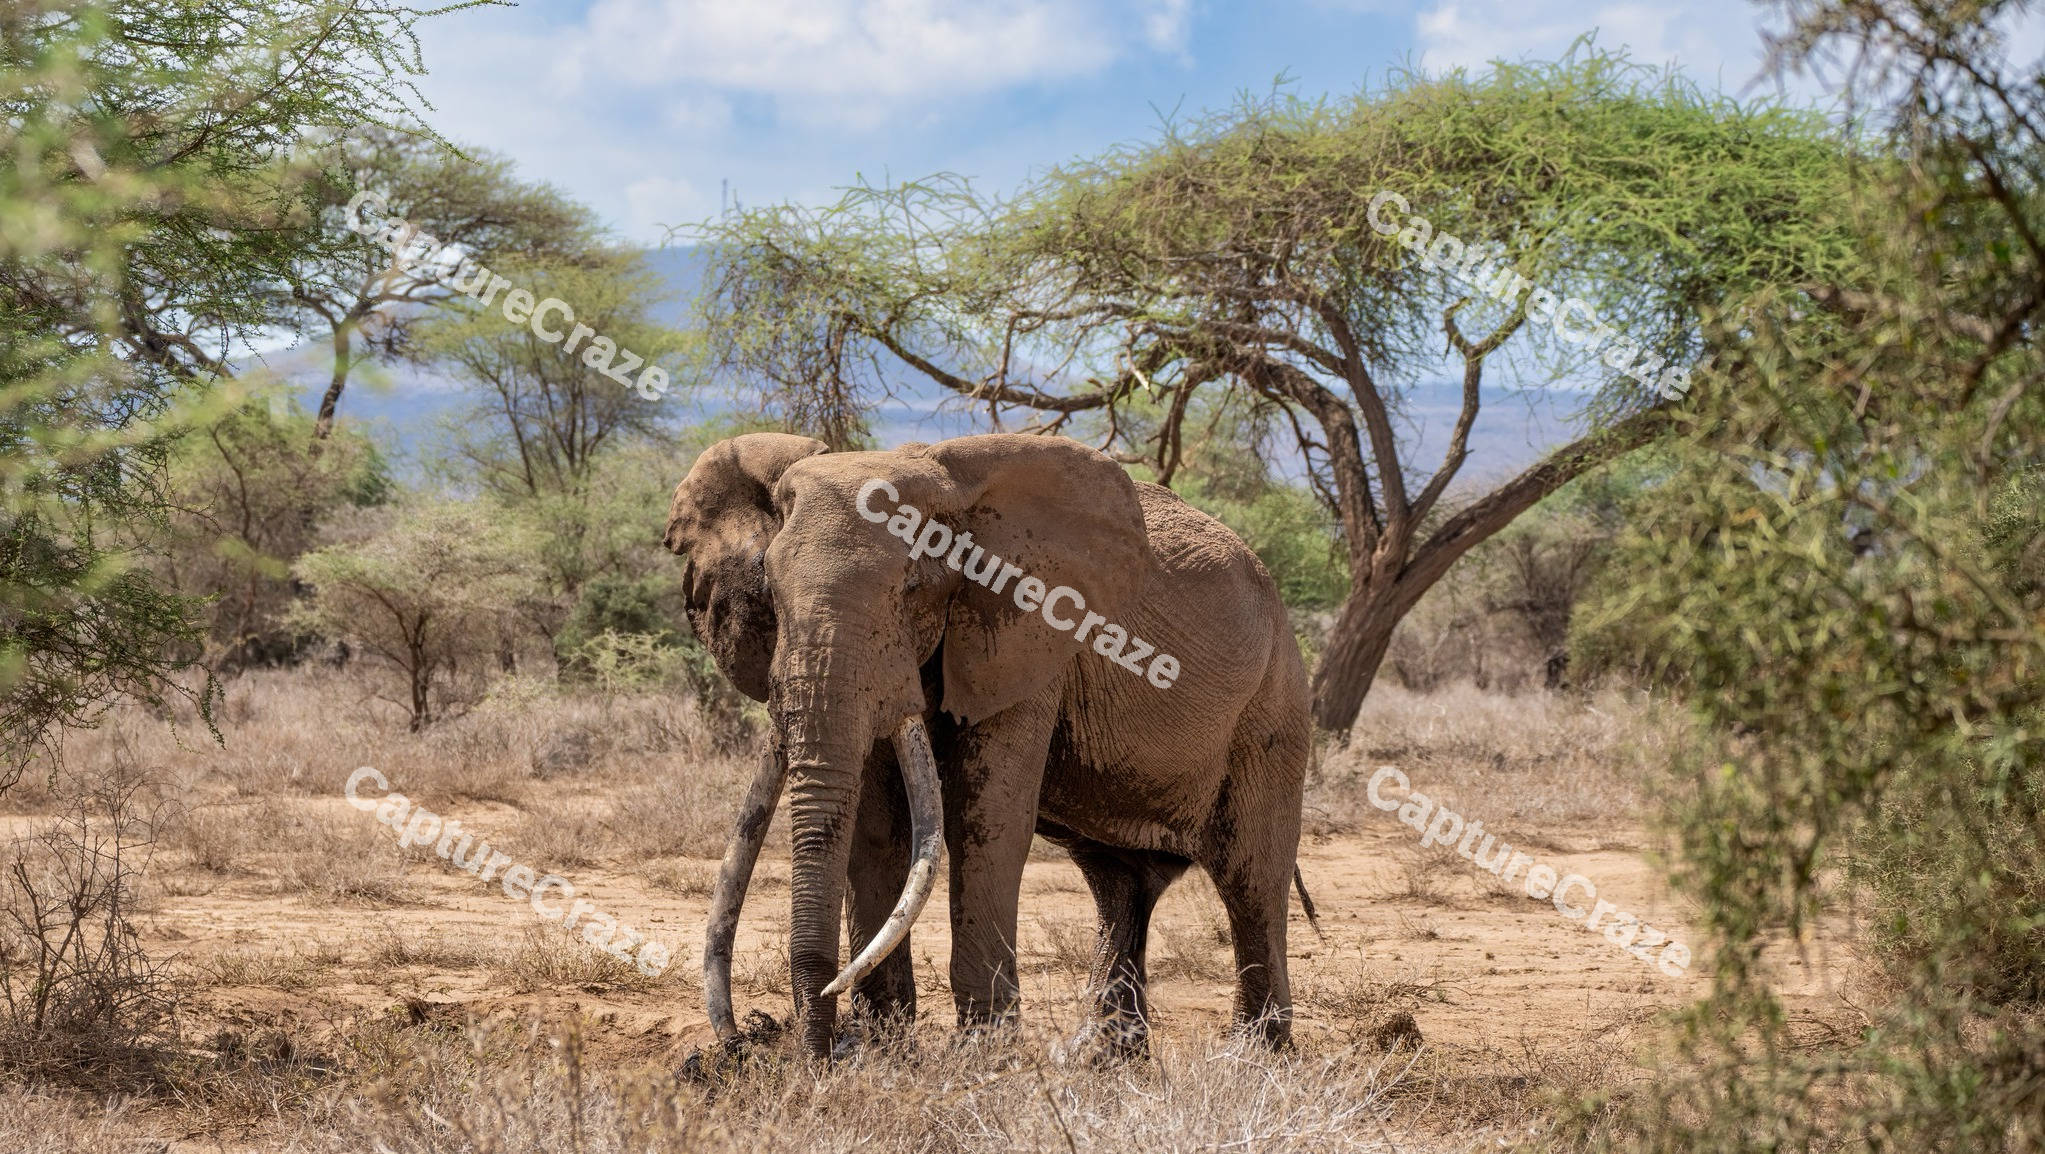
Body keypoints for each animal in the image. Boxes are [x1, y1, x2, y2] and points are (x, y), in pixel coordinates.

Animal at [662, 431, 1312, 1060]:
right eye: (767, 589)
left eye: (913, 587)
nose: (744, 1041)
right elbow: (878, 824)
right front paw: (882, 1049)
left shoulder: (1030, 636)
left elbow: (988, 818)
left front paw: (984, 1054)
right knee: (1118, 883)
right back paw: (1102, 1058)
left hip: (1274, 703)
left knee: (1250, 878)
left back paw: (1252, 1058)